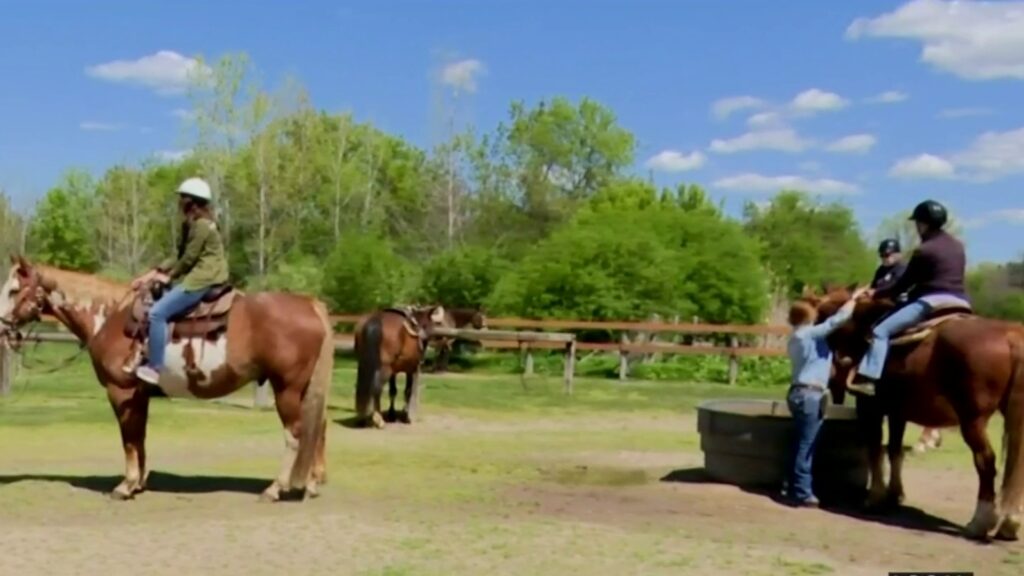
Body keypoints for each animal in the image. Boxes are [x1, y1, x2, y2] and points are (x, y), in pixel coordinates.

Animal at [0, 255, 331, 502]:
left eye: (14, 290)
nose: (2, 327)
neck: (110, 316)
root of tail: (309, 304)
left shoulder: (120, 391)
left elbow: (128, 439)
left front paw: (126, 485)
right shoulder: (140, 395)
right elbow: (140, 438)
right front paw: (138, 483)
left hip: (287, 388)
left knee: (295, 433)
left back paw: (275, 489)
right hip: (304, 389)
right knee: (318, 428)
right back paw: (312, 484)